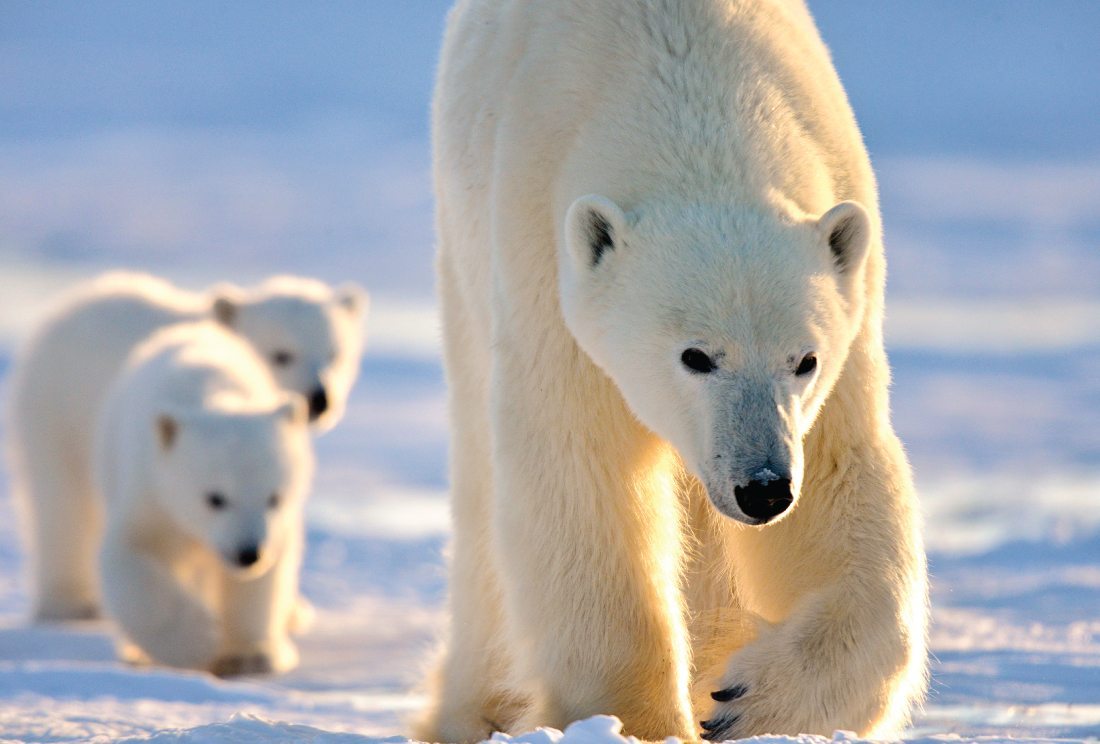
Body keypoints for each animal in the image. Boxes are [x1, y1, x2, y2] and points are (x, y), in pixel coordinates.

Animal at [420, 1, 928, 743]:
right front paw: (635, 719)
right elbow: (582, 478)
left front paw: (747, 700)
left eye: (803, 360)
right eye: (696, 355)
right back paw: (473, 710)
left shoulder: (846, 324)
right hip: (464, 260)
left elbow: (841, 476)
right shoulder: (542, 263)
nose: (763, 488)